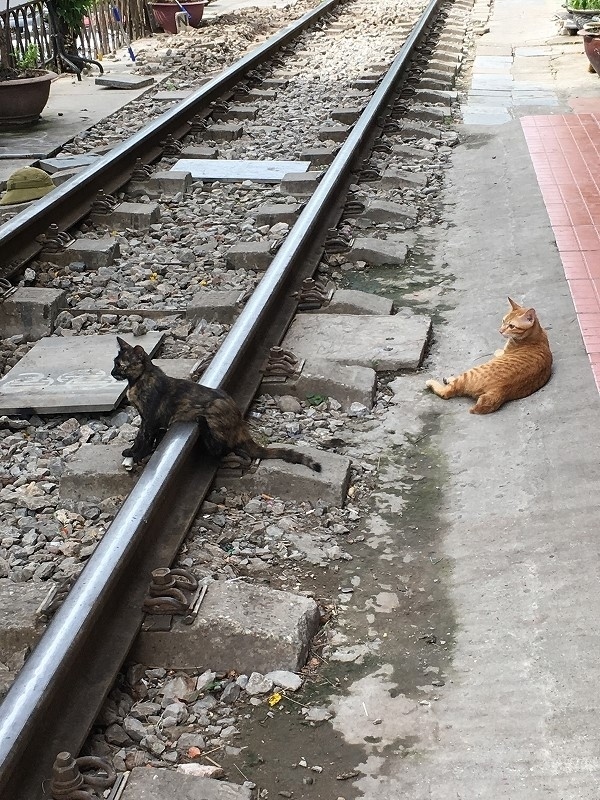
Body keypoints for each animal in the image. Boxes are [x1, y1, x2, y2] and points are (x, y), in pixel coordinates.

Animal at [110, 336, 322, 472]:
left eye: (120, 365)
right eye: (114, 363)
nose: (112, 372)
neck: (137, 381)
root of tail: (240, 424)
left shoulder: (150, 418)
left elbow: (143, 439)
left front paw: (135, 454)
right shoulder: (150, 420)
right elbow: (146, 438)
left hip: (213, 412)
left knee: (220, 449)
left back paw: (202, 425)